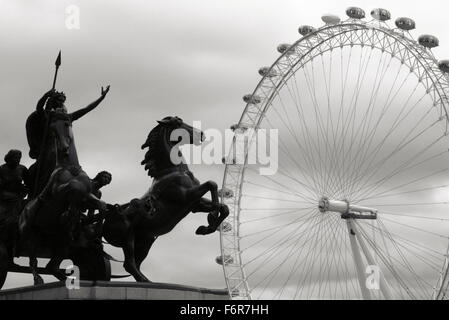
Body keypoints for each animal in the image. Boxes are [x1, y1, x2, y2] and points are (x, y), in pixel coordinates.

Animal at [18, 109, 106, 282]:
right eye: (52, 128)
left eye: (67, 124)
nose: (65, 148)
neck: (70, 168)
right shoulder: (58, 190)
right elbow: (73, 188)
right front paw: (69, 214)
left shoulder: (88, 194)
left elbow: (101, 204)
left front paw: (92, 226)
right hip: (29, 233)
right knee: (32, 258)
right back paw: (38, 278)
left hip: (59, 241)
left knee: (51, 266)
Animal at [101, 116, 228, 282]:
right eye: (178, 122)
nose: (201, 134)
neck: (172, 170)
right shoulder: (186, 197)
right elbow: (212, 184)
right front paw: (211, 220)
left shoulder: (194, 204)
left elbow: (224, 207)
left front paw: (206, 227)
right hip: (128, 238)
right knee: (129, 263)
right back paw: (146, 281)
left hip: (145, 241)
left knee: (135, 264)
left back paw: (147, 280)